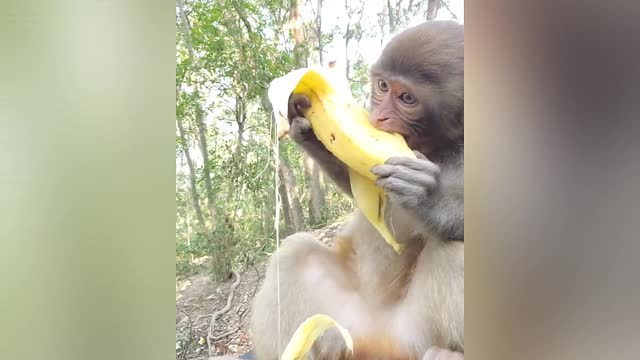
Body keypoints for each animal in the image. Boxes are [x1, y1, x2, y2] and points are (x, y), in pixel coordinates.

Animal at [251, 21, 464, 358]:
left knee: (456, 251)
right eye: (382, 86)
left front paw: (427, 197)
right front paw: (305, 127)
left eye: (407, 98)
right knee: (294, 254)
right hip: (342, 325)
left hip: (415, 334)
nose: (377, 117)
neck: (440, 146)